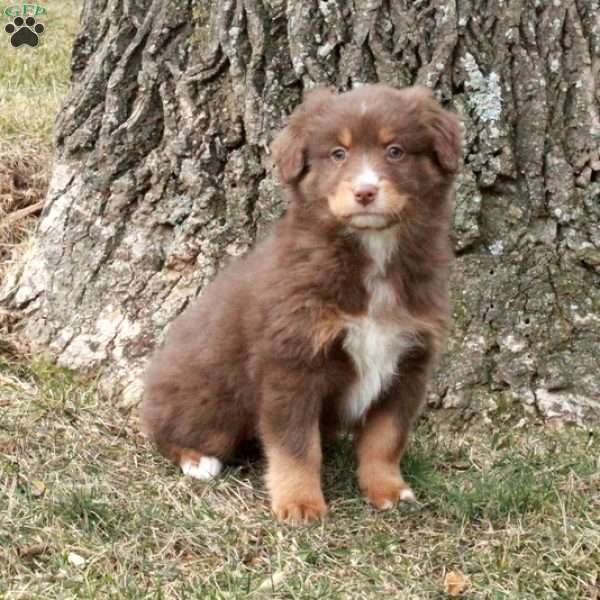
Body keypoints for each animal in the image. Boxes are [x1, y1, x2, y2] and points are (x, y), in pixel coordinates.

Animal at [143, 83, 462, 520]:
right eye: (338, 153)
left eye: (394, 150)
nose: (365, 192)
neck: (372, 257)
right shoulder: (292, 361)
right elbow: (295, 446)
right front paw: (299, 503)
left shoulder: (409, 362)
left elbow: (386, 438)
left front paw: (388, 490)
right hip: (212, 402)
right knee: (164, 428)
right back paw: (197, 460)